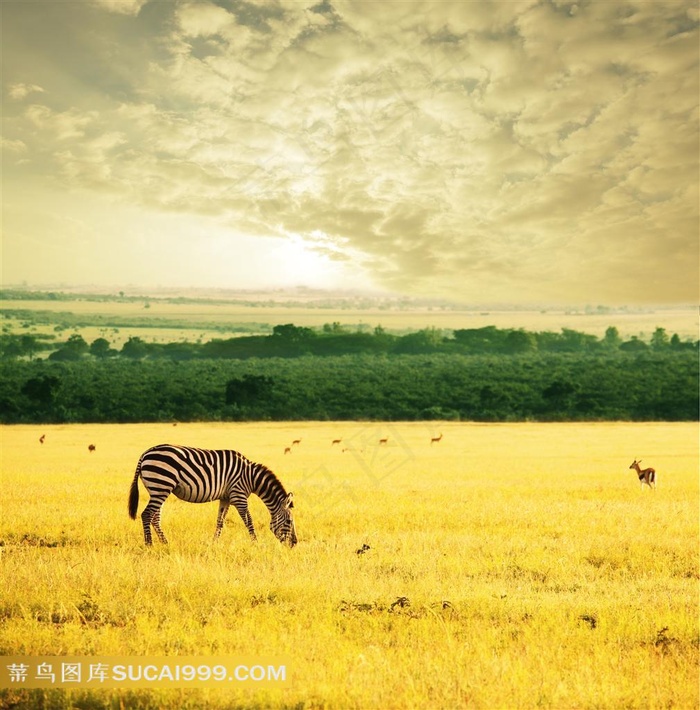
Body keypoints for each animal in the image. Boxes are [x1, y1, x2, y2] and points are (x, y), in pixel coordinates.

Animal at [127, 444, 296, 552]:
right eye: (289, 521)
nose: (295, 543)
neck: (251, 478)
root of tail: (145, 454)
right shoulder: (239, 495)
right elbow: (249, 521)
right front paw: (256, 543)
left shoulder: (226, 498)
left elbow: (220, 521)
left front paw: (214, 543)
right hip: (161, 485)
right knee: (147, 514)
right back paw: (150, 545)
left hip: (158, 489)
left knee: (155, 518)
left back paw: (165, 543)